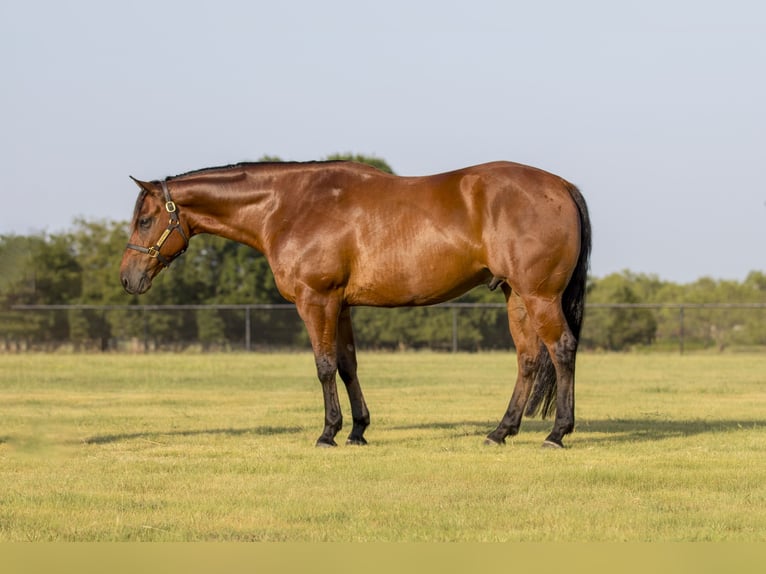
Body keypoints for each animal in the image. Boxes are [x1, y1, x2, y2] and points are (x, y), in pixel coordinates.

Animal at [120, 161, 592, 450]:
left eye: (145, 220)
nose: (128, 278)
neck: (289, 206)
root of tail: (561, 186)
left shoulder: (316, 300)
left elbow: (325, 365)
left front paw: (328, 432)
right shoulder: (340, 305)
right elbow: (348, 365)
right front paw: (358, 430)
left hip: (540, 296)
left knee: (562, 350)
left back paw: (556, 433)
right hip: (517, 297)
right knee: (528, 359)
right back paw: (500, 431)